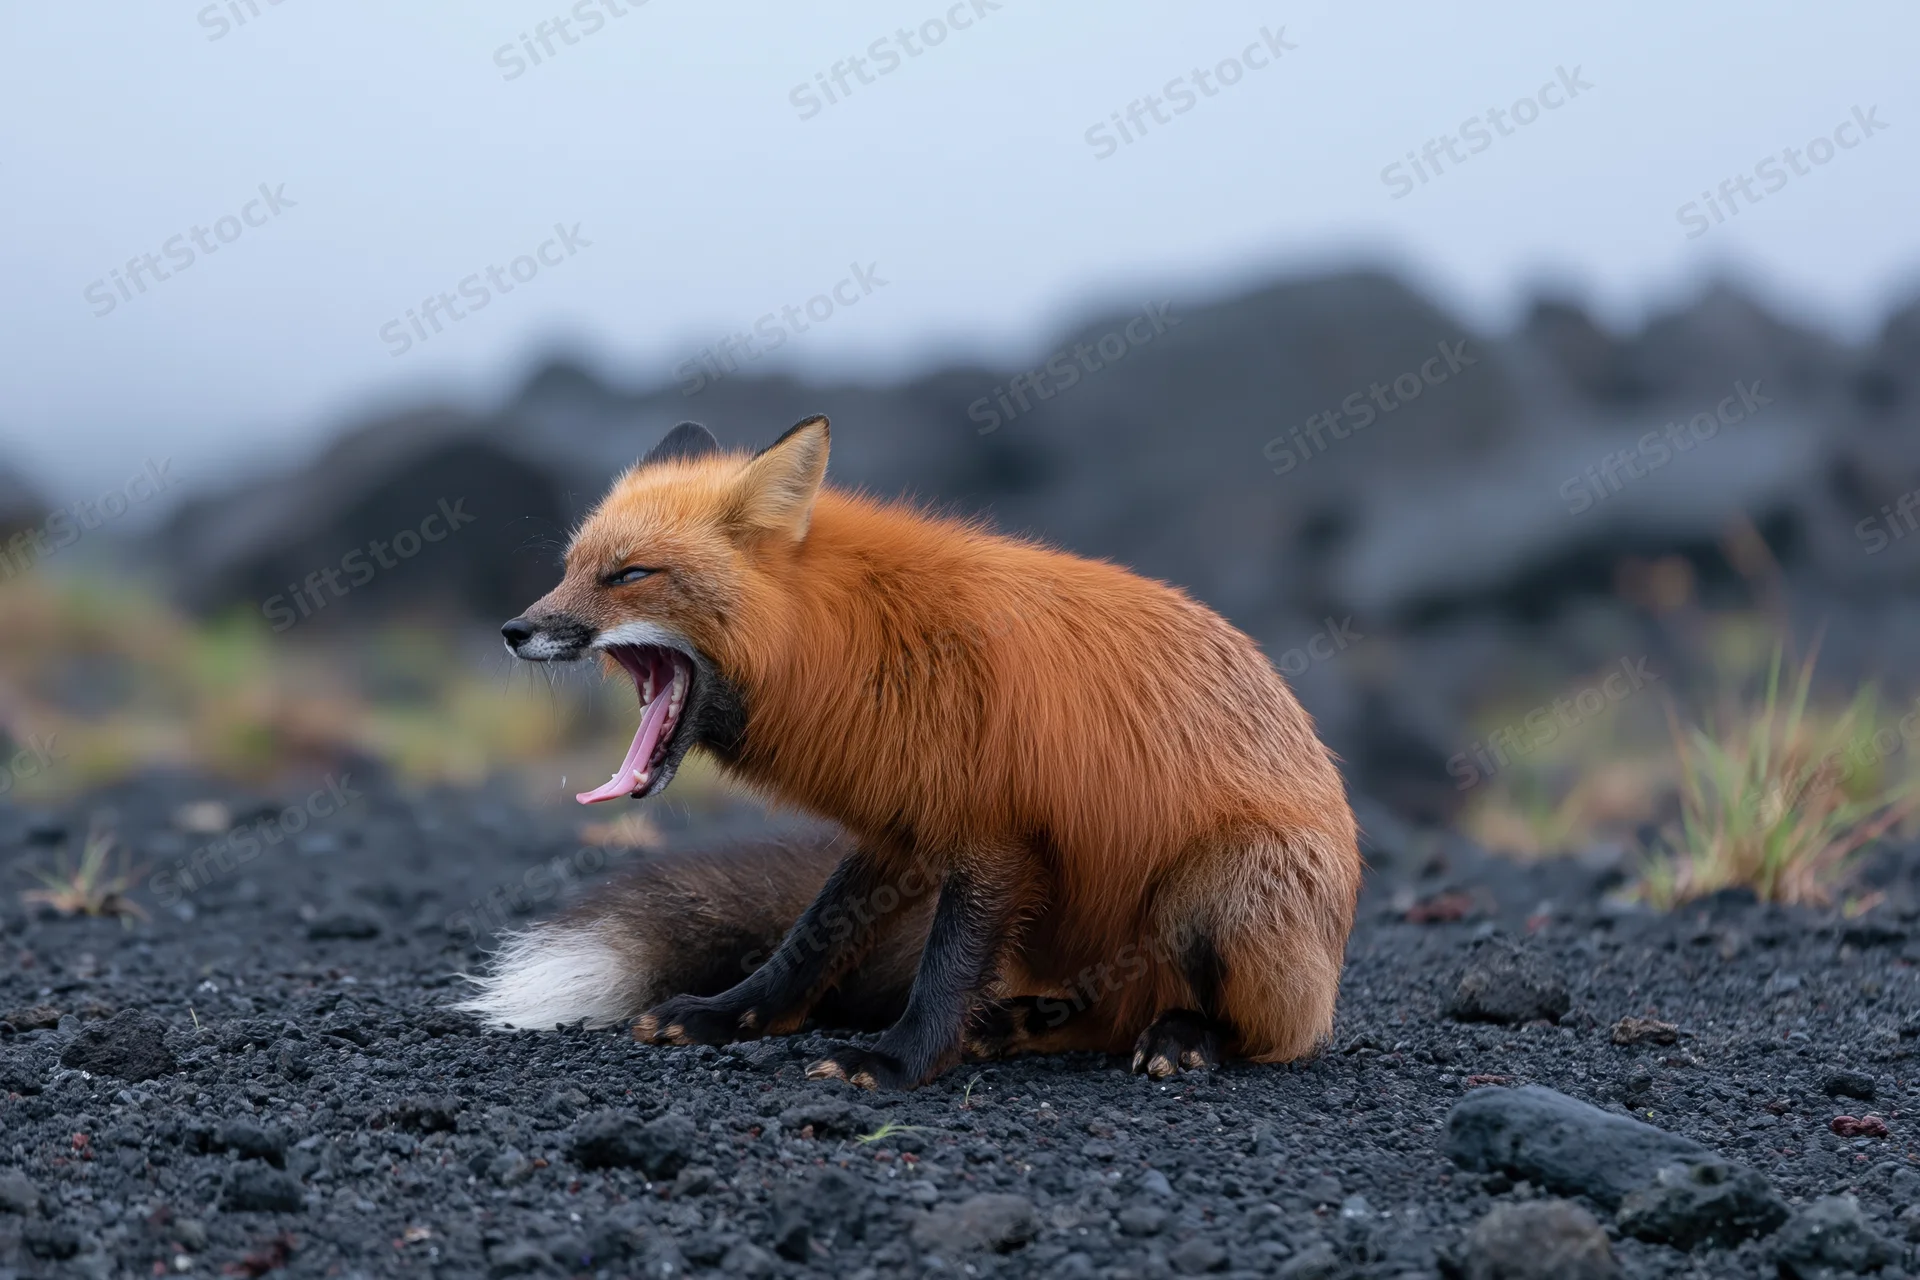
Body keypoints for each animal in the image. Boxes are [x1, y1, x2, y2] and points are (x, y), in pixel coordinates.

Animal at [459, 415, 1361, 1089]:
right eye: (569, 568)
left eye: (629, 575)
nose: (514, 631)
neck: (859, 639)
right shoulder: (898, 827)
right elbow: (811, 938)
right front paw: (733, 1015)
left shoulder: (992, 832)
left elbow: (946, 967)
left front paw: (897, 1063)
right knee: (1098, 1016)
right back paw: (1022, 1024)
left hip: (1219, 887)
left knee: (1263, 1033)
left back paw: (1184, 1037)